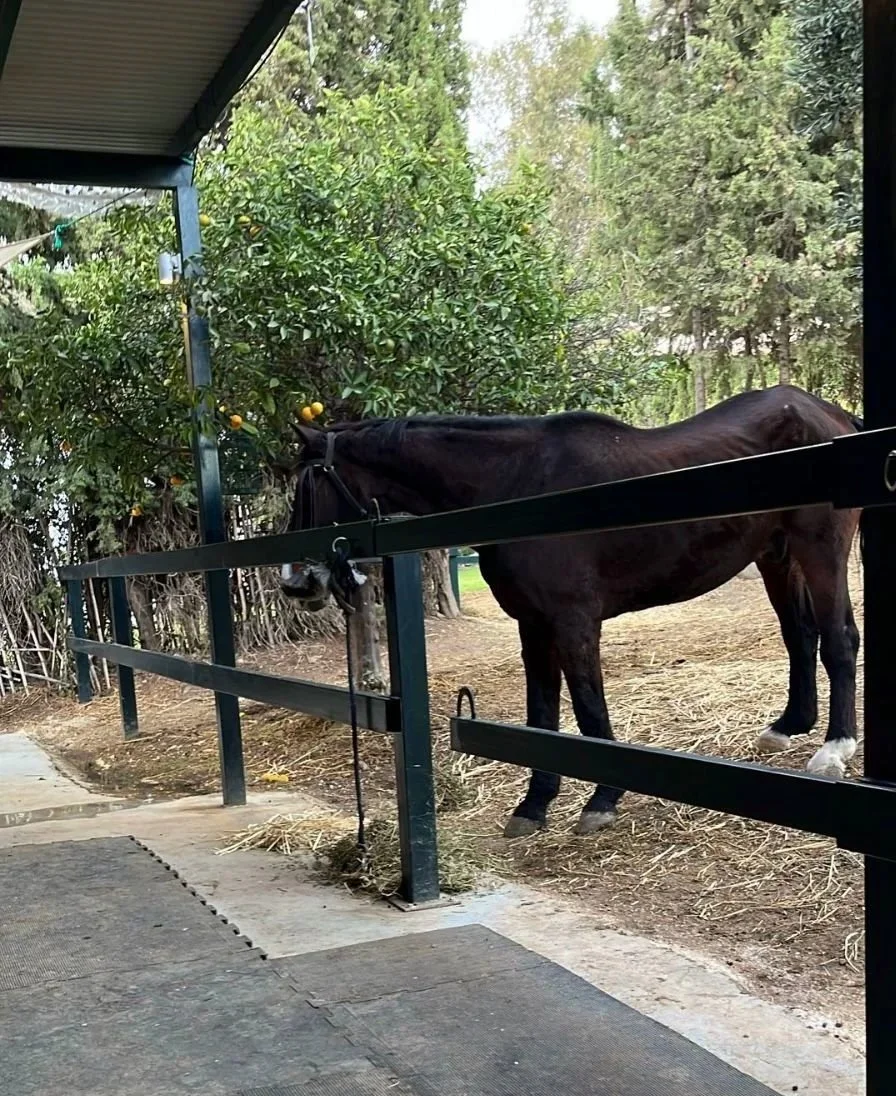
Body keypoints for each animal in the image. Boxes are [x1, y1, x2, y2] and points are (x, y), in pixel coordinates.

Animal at [281, 386, 862, 838]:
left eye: (309, 486)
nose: (295, 582)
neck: (520, 488)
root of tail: (829, 414)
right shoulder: (532, 624)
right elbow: (542, 713)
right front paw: (534, 805)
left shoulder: (573, 621)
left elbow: (587, 707)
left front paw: (602, 801)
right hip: (776, 555)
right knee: (799, 634)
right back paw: (789, 726)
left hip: (821, 549)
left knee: (838, 638)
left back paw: (834, 750)